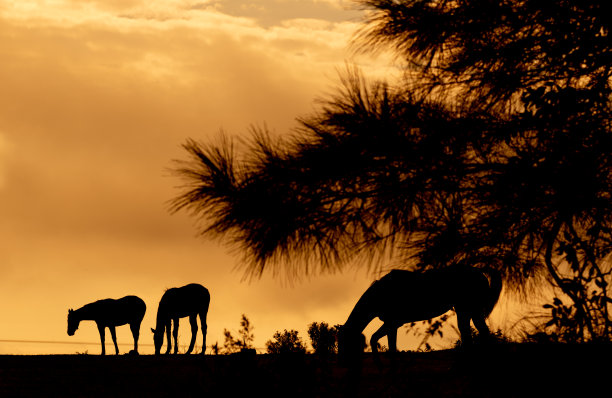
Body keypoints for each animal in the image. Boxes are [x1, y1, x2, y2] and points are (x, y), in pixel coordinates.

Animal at [340, 264, 502, 364]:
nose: (343, 361)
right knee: (479, 331)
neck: (381, 293)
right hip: (471, 311)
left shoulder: (393, 323)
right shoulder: (392, 324)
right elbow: (385, 343)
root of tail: (481, 274)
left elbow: (383, 342)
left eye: (344, 341)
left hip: (466, 310)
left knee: (471, 333)